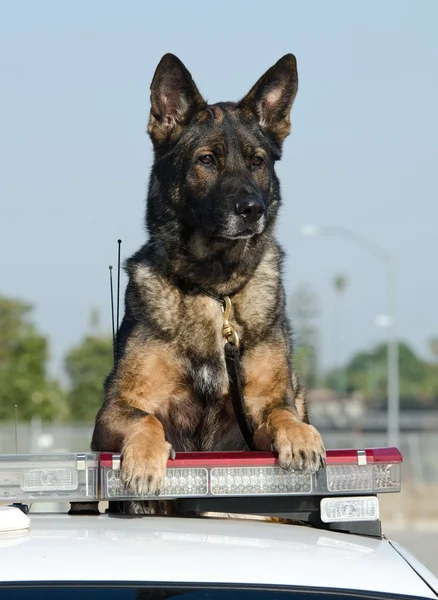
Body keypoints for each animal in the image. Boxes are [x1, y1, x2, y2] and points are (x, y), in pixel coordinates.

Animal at [91, 52, 326, 510]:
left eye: (257, 162)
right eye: (206, 160)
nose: (252, 209)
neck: (215, 291)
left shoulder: (258, 410)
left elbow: (282, 413)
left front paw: (301, 437)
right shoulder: (114, 409)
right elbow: (146, 420)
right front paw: (144, 460)